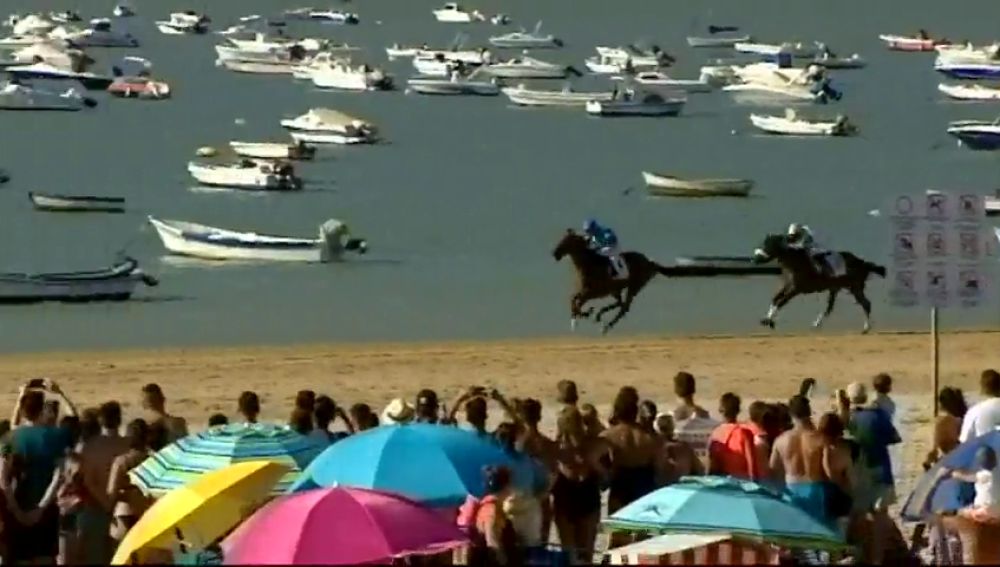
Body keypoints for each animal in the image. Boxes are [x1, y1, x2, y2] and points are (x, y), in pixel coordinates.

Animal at [752, 234, 888, 336]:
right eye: (763, 243)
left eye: (769, 245)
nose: (755, 259)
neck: (796, 262)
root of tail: (863, 262)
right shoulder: (787, 285)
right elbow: (775, 299)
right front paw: (767, 320)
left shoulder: (796, 289)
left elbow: (781, 302)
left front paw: (768, 320)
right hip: (836, 288)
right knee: (830, 308)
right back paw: (816, 324)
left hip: (855, 287)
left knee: (865, 304)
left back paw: (866, 328)